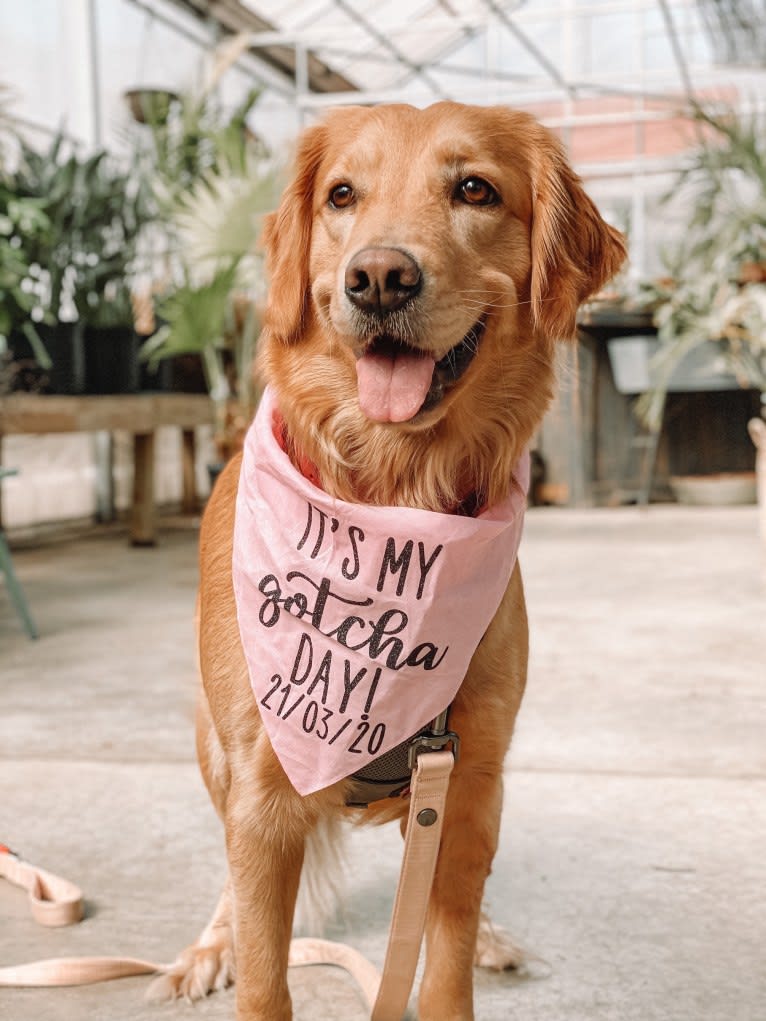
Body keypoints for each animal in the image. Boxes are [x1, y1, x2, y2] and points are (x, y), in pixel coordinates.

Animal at [159, 99, 625, 1016]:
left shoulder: (471, 778)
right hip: (212, 747)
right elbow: (265, 975)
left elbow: (443, 957)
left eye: (475, 189)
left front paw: (468, 948)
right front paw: (234, 953)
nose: (378, 278)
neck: (390, 496)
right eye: (342, 195)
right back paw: (208, 944)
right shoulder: (262, 789)